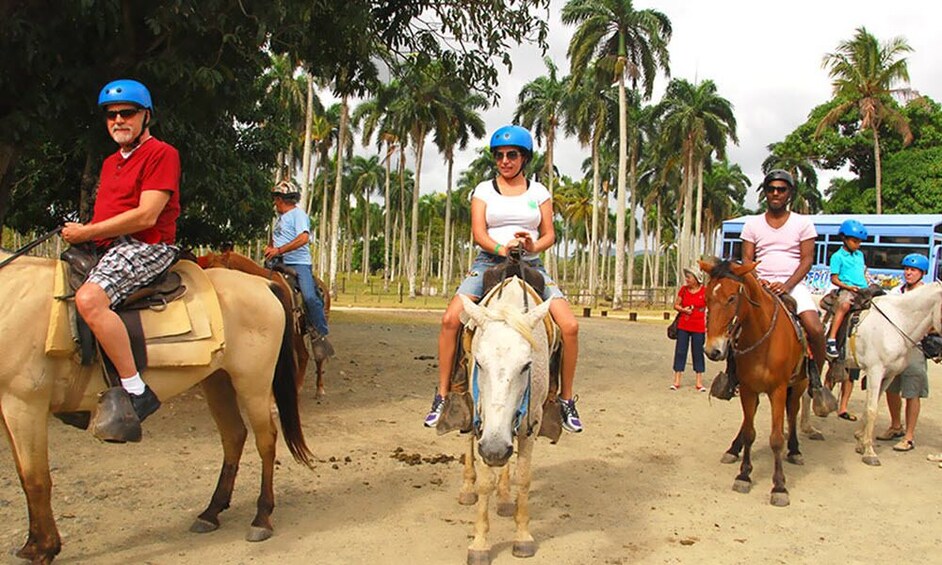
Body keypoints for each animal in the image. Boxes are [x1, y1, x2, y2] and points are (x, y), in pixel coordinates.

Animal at [0, 253, 316, 560]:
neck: (11, 298)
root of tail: (264, 284)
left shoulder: (25, 404)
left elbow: (36, 479)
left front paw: (43, 548)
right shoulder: (9, 409)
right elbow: (24, 474)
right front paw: (34, 544)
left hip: (253, 382)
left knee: (266, 441)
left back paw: (261, 518)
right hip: (217, 380)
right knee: (234, 436)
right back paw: (211, 512)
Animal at [456, 278, 552, 564]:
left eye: (526, 365)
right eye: (479, 362)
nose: (495, 449)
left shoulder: (531, 423)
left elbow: (524, 477)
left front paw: (522, 537)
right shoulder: (484, 425)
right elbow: (485, 482)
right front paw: (479, 544)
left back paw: (506, 497)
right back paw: (468, 488)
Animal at [700, 258, 812, 504]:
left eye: (732, 298)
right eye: (707, 298)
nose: (712, 350)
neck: (762, 339)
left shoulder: (778, 389)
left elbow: (776, 438)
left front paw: (779, 487)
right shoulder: (748, 388)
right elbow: (750, 433)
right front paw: (744, 475)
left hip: (799, 384)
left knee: (793, 411)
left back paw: (795, 450)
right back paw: (733, 449)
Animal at [848, 280, 942, 462]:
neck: (897, 324)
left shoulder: (888, 375)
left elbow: (870, 405)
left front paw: (861, 444)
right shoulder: (875, 371)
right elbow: (872, 410)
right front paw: (869, 452)